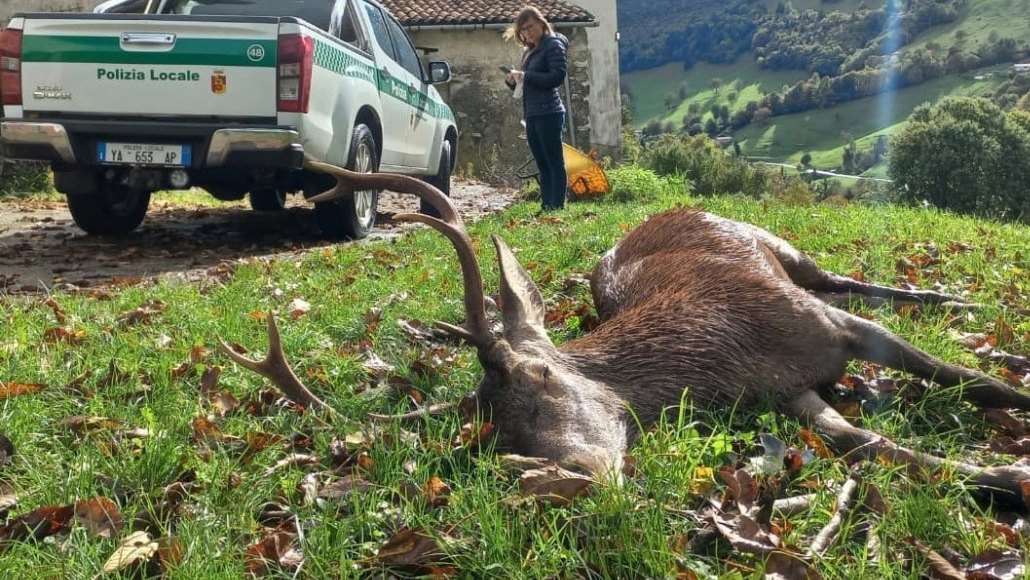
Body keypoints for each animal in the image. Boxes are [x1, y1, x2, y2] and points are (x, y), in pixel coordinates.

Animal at [221, 159, 1030, 508]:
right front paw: (1004, 479)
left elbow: (978, 381)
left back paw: (949, 295)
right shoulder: (788, 391)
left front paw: (1010, 411)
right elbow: (870, 444)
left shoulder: (827, 326)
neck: (726, 355)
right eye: (498, 436)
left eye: (538, 376)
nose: (568, 475)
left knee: (847, 279)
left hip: (783, 248)